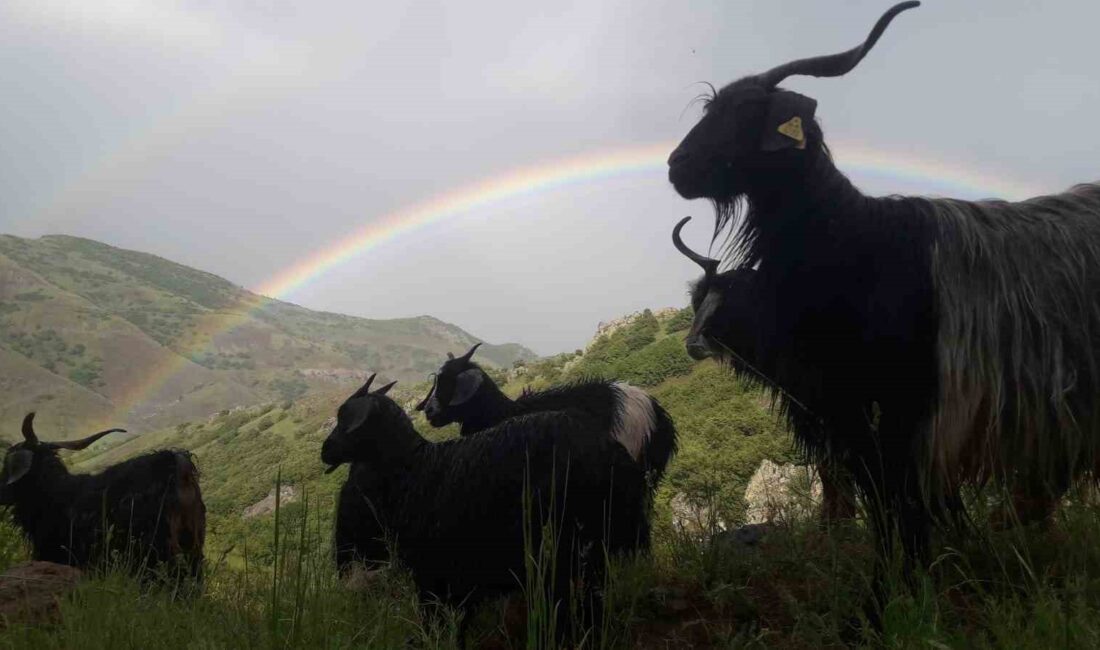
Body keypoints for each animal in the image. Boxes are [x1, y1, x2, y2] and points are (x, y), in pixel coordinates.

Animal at [0, 413, 205, 576]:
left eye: (7, 463)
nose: (2, 492)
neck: (53, 492)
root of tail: (178, 465)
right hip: (191, 544)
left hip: (156, 545)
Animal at [323, 376, 651, 642]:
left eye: (343, 418)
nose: (324, 451)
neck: (414, 467)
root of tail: (612, 453)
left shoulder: (432, 573)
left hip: (569, 544)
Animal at [664, 0, 1095, 571]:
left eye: (745, 109)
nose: (676, 166)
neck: (860, 242)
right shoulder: (844, 407)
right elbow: (877, 491)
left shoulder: (903, 404)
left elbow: (899, 495)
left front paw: (908, 579)